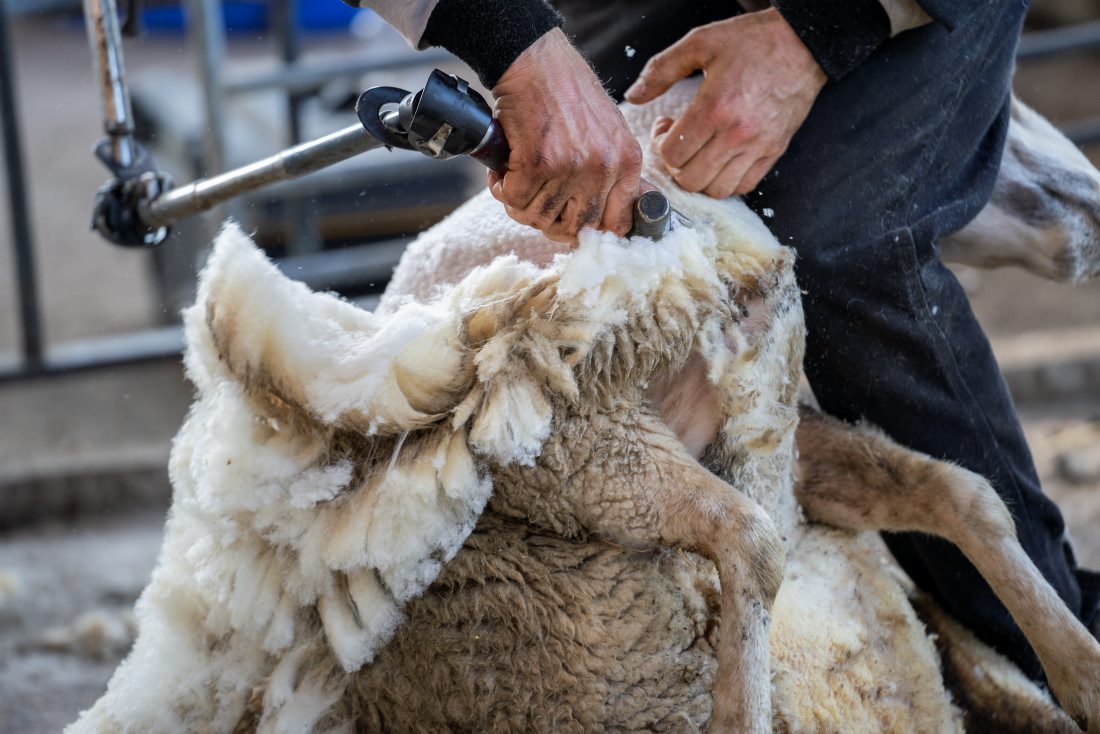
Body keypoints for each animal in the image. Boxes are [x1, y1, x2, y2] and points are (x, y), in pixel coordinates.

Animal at [70, 77, 1100, 730]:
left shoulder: (762, 428)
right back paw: (741, 712)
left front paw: (1081, 675)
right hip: (589, 451)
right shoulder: (599, 439)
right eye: (995, 126)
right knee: (748, 539)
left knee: (793, 528)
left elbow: (960, 493)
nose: (1093, 202)